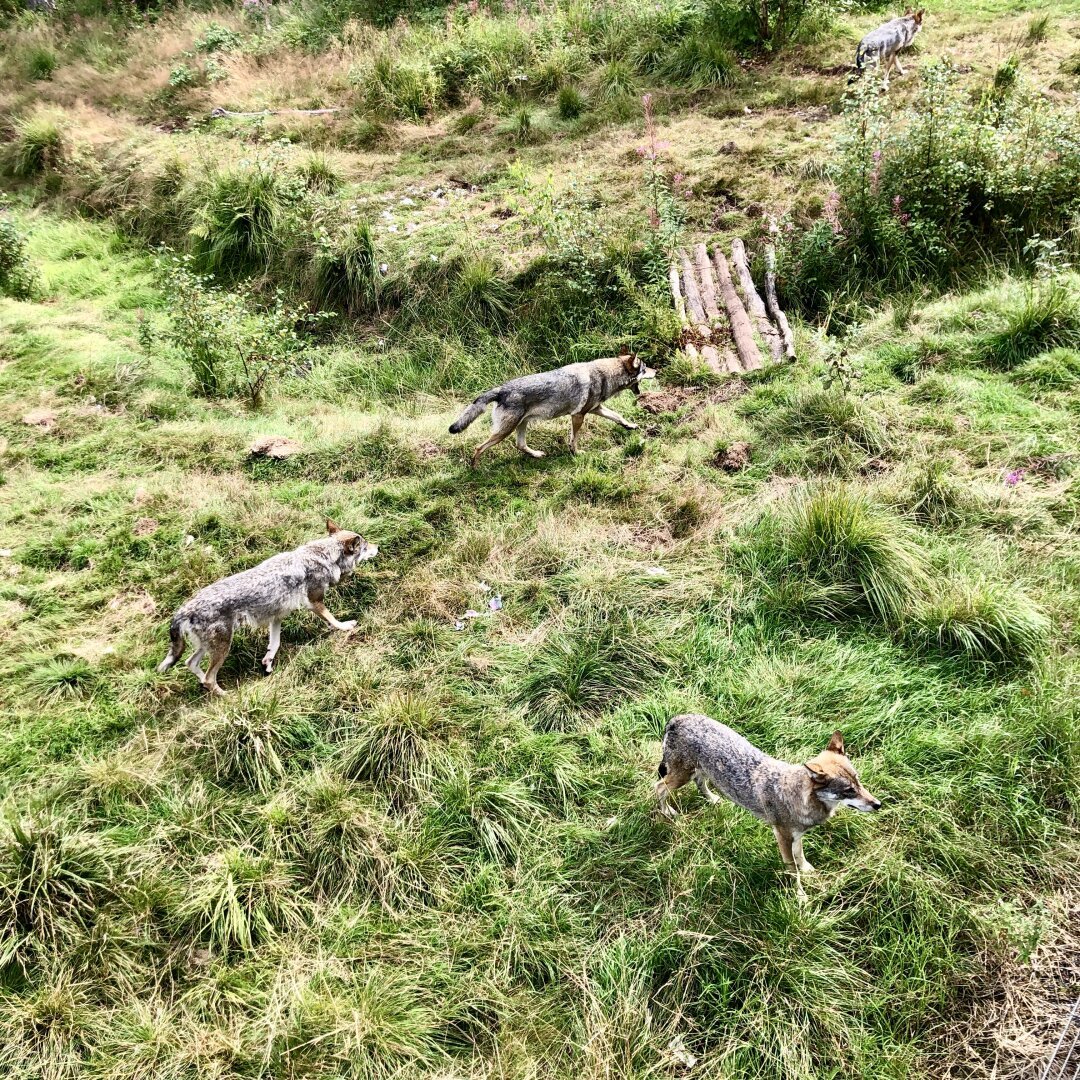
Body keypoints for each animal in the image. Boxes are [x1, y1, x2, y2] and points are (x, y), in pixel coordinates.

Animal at [157, 518, 378, 695]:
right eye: (366, 546)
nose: (378, 547)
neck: (323, 555)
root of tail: (184, 610)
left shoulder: (276, 616)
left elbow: (275, 643)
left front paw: (268, 662)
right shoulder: (315, 602)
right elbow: (332, 619)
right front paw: (346, 626)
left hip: (208, 646)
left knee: (191, 664)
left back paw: (203, 683)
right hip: (223, 646)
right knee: (209, 678)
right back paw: (227, 696)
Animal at [447, 352, 656, 466]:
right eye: (645, 368)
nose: (657, 371)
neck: (605, 375)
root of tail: (501, 389)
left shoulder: (596, 409)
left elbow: (618, 416)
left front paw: (631, 426)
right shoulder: (578, 416)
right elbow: (574, 439)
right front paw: (576, 453)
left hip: (521, 425)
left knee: (520, 445)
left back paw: (537, 454)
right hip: (504, 431)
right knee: (478, 448)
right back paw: (474, 470)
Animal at [656, 712, 876, 889]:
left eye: (859, 781)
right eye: (848, 790)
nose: (878, 804)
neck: (797, 797)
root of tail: (676, 719)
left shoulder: (797, 836)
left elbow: (800, 856)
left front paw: (807, 869)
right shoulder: (782, 837)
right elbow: (792, 870)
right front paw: (800, 897)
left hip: (699, 772)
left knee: (699, 783)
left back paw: (712, 799)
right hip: (680, 777)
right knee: (658, 788)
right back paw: (667, 812)